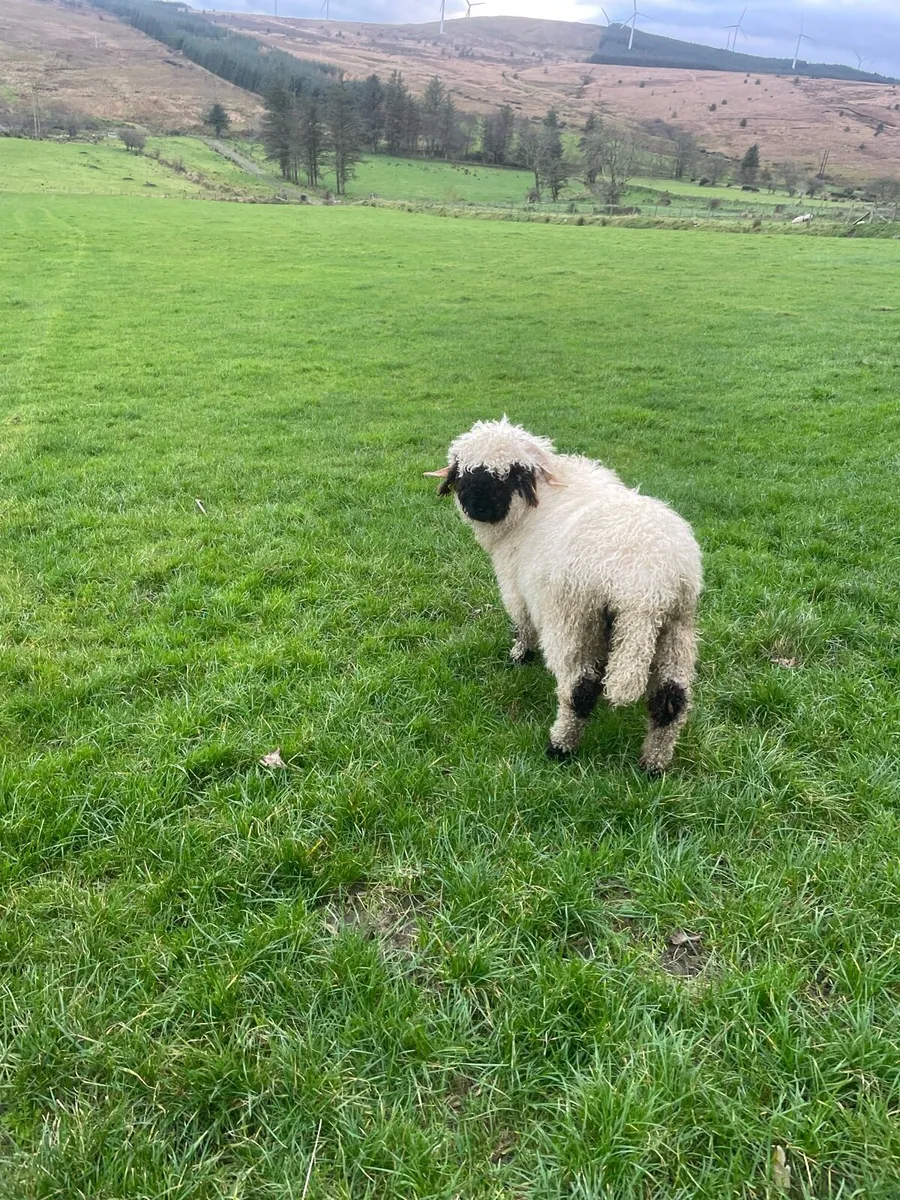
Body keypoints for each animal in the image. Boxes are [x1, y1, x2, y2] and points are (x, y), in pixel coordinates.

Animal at [425, 418, 702, 772]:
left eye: (512, 474)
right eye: (464, 473)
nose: (479, 508)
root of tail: (644, 586)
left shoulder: (515, 587)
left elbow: (523, 623)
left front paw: (520, 655)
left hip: (573, 621)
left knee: (579, 691)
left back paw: (560, 745)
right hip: (677, 628)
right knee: (671, 701)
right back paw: (653, 764)